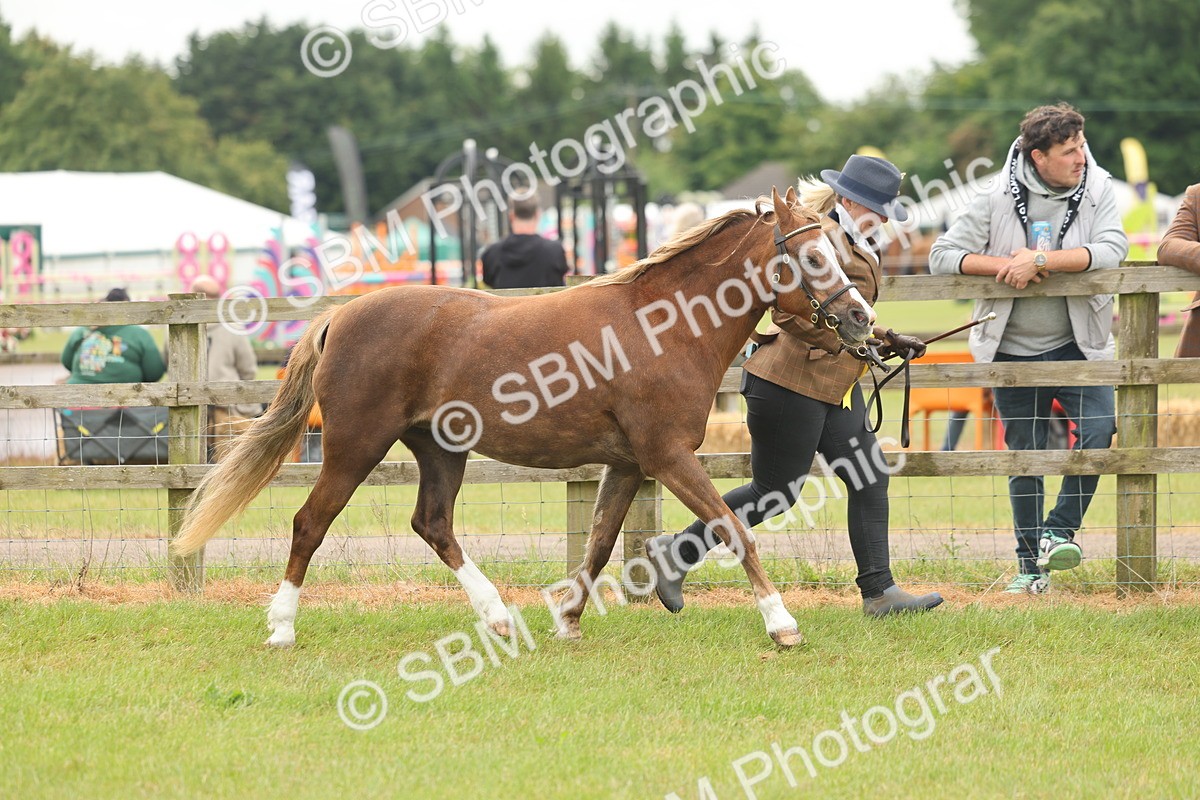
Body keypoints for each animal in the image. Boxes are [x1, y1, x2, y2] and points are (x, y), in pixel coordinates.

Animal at [172, 187, 876, 648]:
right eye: (814, 257)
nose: (862, 318)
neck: (663, 326)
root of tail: (339, 315)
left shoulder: (628, 464)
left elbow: (598, 542)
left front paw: (566, 621)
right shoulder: (668, 456)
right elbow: (736, 531)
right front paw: (782, 624)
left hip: (440, 450)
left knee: (432, 524)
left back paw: (498, 618)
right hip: (354, 448)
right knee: (309, 524)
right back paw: (282, 627)